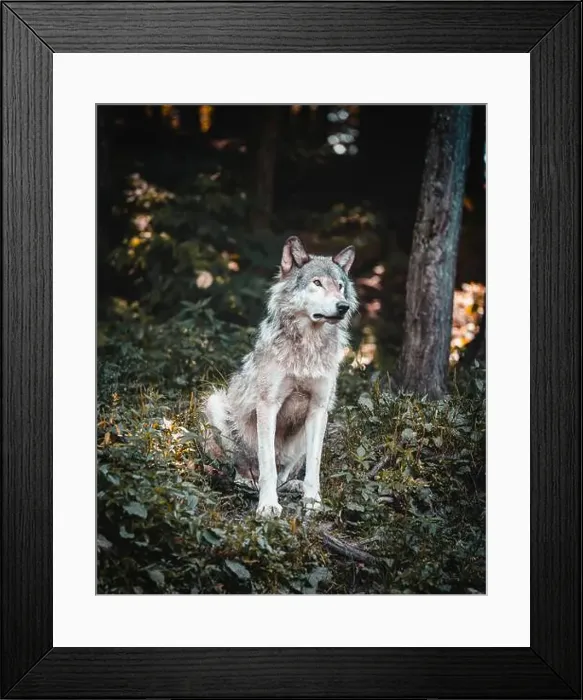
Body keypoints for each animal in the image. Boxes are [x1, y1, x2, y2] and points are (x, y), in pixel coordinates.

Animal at [202, 236, 358, 518]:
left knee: (286, 474)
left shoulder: (319, 408)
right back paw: (247, 482)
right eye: (317, 283)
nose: (343, 306)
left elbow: (314, 467)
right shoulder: (268, 405)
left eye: (340, 286)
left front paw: (313, 501)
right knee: (242, 468)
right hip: (215, 404)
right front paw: (267, 505)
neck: (307, 349)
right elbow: (268, 467)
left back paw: (294, 486)